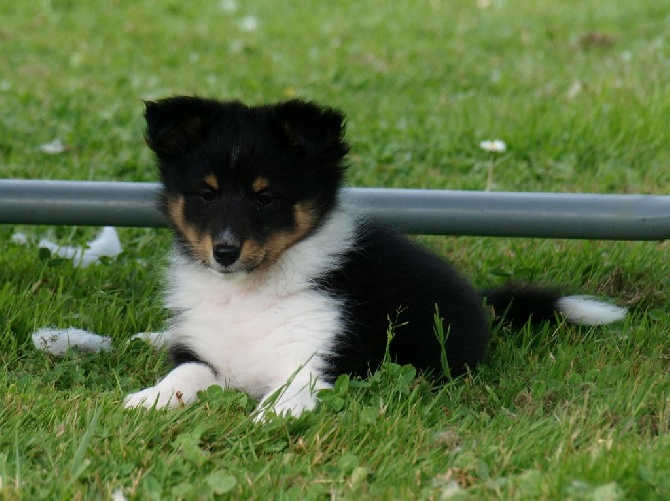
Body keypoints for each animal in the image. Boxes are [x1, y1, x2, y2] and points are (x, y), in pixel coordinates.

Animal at [124, 97, 632, 418]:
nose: (225, 252)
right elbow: (184, 371)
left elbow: (293, 389)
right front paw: (147, 399)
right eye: (206, 194)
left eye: (265, 198)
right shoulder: (205, 352)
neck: (249, 291)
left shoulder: (323, 355)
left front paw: (273, 416)